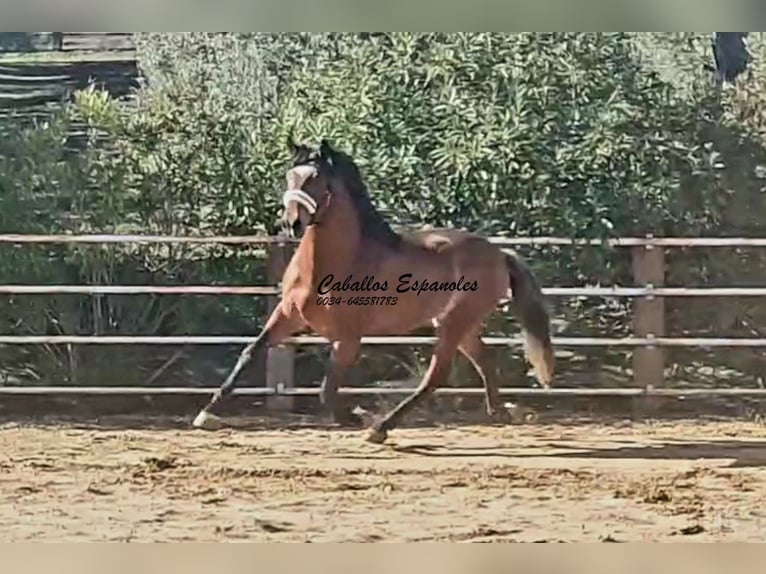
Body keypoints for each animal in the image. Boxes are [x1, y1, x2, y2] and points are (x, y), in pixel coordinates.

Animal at [192, 138, 555, 444]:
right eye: (290, 176)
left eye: (316, 179)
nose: (291, 224)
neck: (329, 265)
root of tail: (499, 253)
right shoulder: (287, 316)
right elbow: (250, 353)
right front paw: (206, 414)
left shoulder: (349, 338)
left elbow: (326, 390)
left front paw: (356, 417)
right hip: (457, 323)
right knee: (484, 363)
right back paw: (502, 413)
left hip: (455, 323)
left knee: (435, 377)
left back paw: (381, 428)